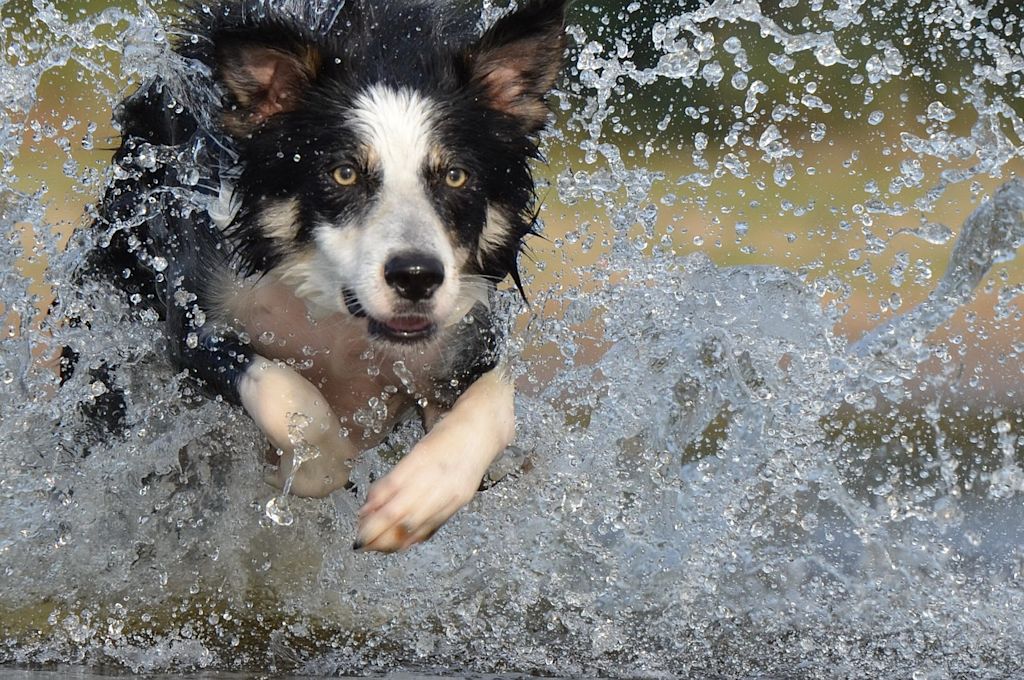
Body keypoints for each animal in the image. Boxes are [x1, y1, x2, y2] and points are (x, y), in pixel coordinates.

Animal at [81, 0, 569, 548]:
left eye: (456, 176)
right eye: (344, 173)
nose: (416, 276)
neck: (338, 316)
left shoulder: (464, 335)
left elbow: (495, 401)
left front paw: (417, 497)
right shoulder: (195, 316)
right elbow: (293, 399)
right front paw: (309, 464)